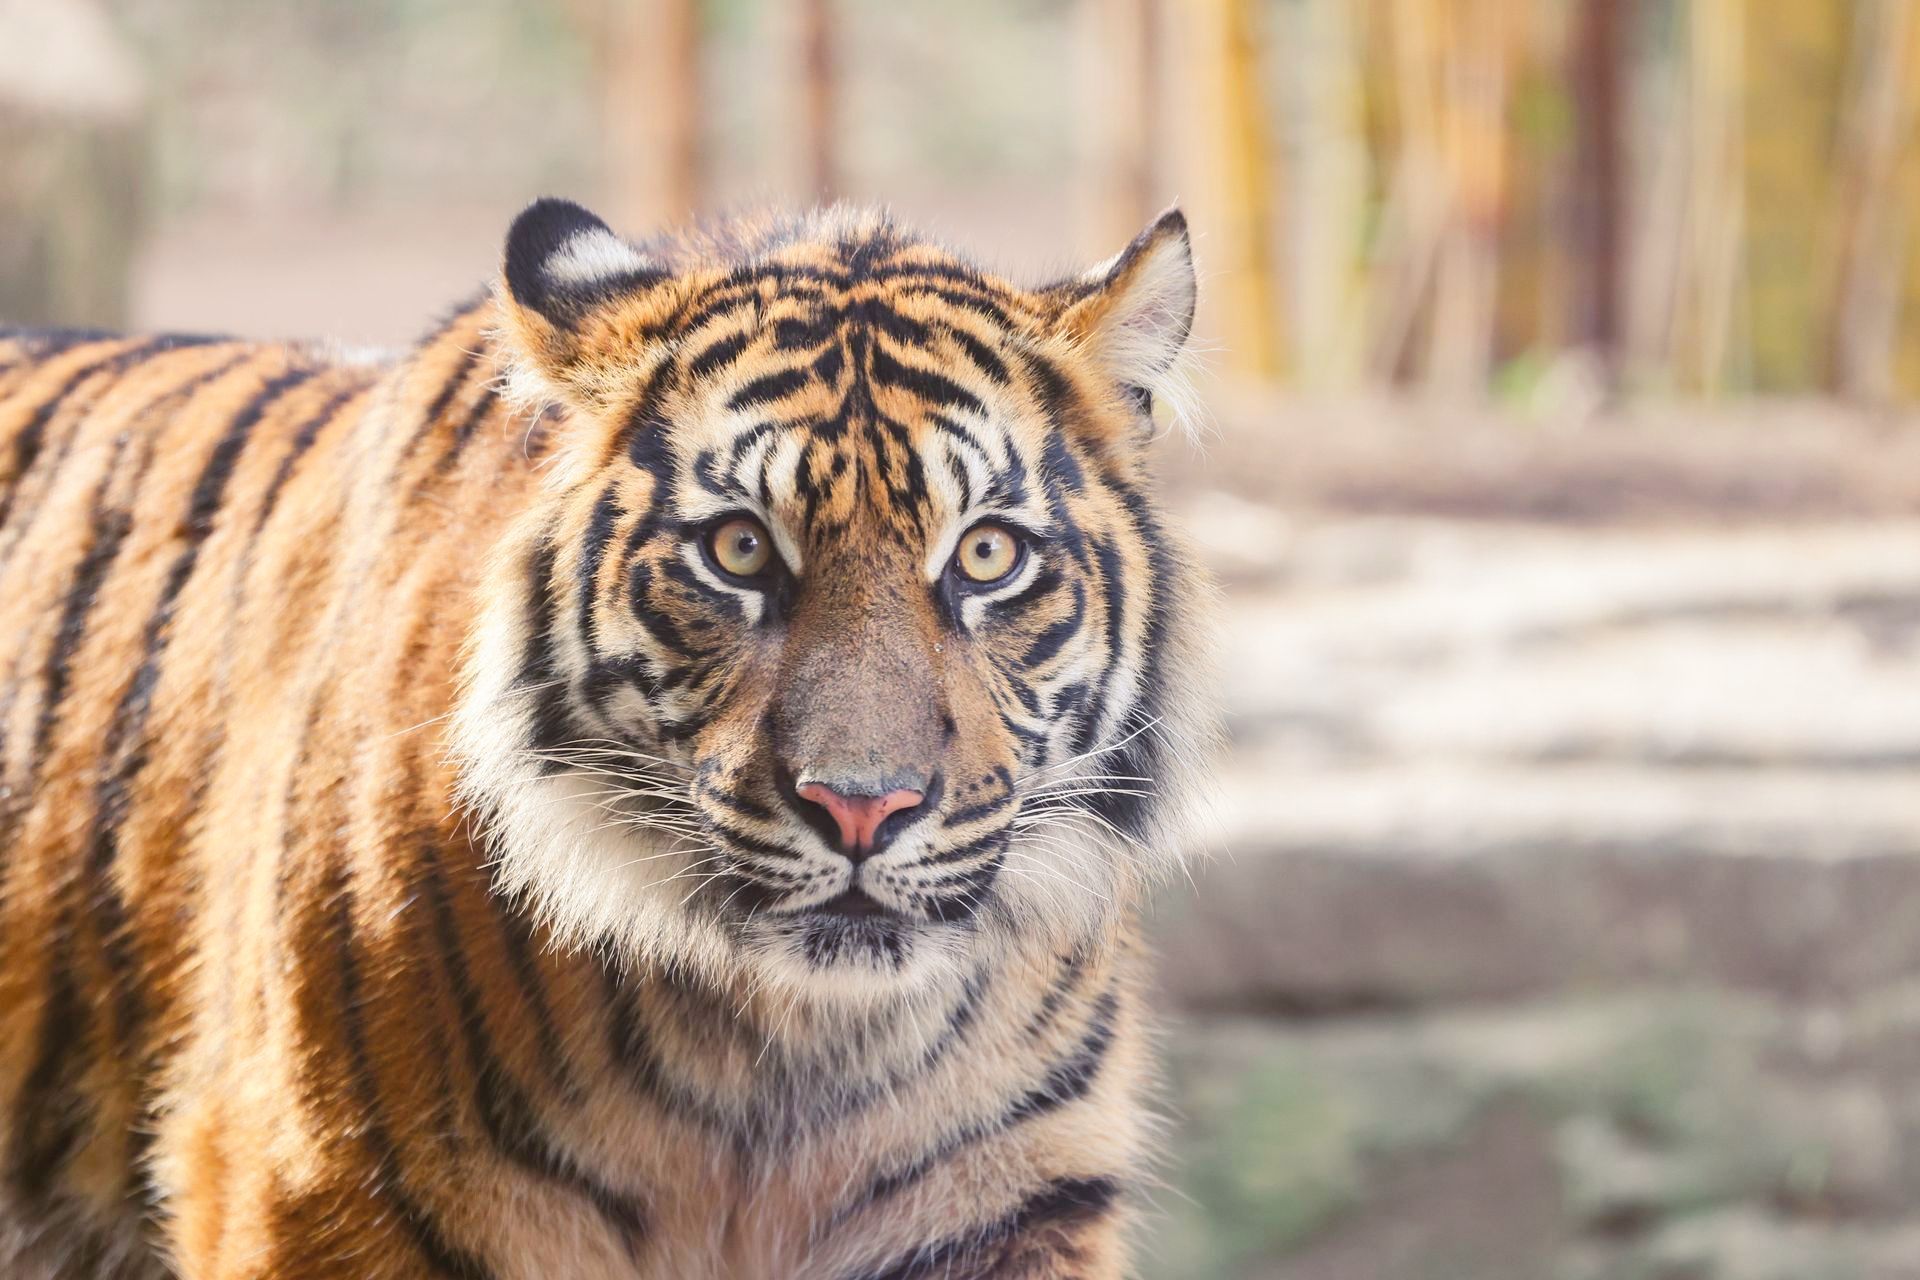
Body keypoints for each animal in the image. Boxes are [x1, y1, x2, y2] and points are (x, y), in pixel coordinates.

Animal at [0, 197, 1215, 1279]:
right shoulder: (311, 1186)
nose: (862, 805)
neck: (794, 1063)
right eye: (738, 549)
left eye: (986, 556)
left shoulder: (1010, 1199)